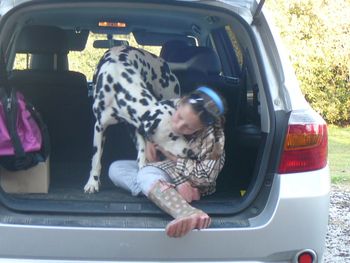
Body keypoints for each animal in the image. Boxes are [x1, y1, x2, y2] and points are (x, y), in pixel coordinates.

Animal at [83, 45, 196, 194]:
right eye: (171, 136)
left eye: (182, 133)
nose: (190, 152)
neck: (118, 87)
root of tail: (164, 63)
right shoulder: (99, 127)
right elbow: (96, 160)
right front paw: (92, 182)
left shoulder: (137, 128)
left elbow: (142, 150)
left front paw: (143, 167)